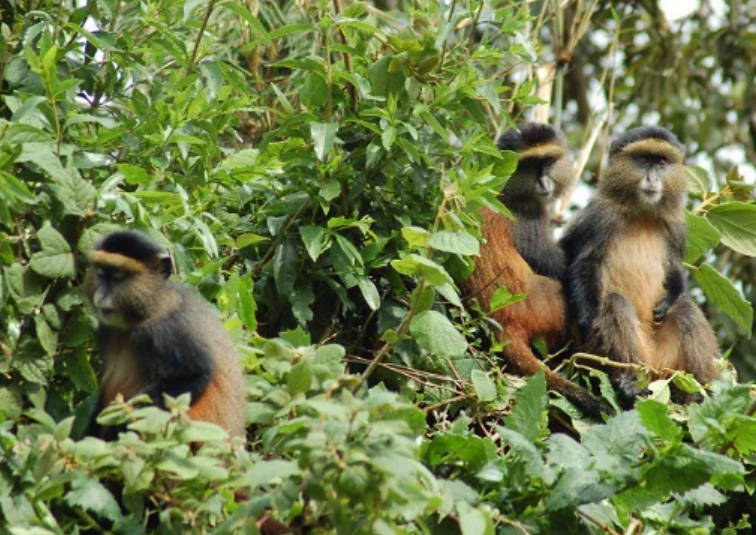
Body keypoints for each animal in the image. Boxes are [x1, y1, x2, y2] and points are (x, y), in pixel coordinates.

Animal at [463, 122, 613, 416]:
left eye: (549, 161)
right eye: (532, 165)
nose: (544, 182)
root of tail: (504, 321)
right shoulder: (527, 217)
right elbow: (559, 267)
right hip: (546, 308)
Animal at [560, 126, 721, 402]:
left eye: (662, 162)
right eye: (644, 160)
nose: (652, 178)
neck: (641, 214)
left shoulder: (677, 228)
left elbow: (674, 270)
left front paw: (669, 299)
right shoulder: (599, 217)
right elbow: (584, 264)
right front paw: (588, 323)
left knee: (686, 309)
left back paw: (704, 392)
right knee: (614, 303)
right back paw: (627, 382)